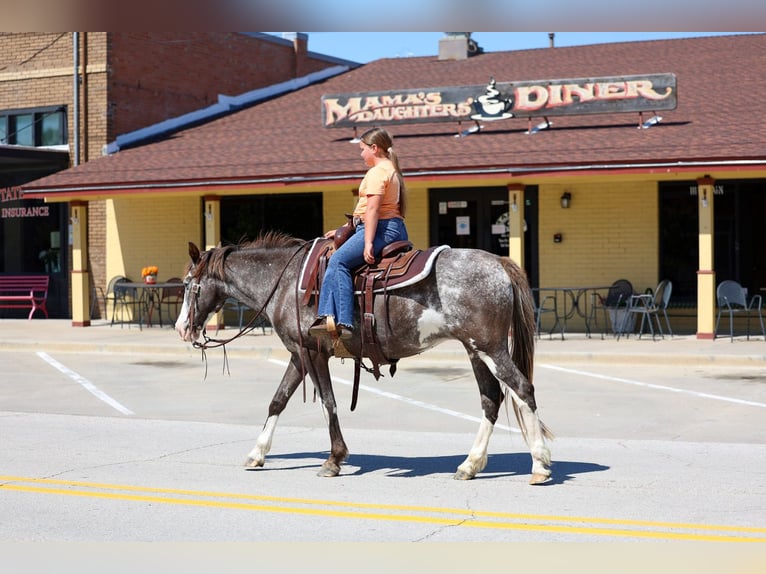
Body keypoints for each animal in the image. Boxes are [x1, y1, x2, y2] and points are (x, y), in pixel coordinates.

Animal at [175, 233, 553, 484]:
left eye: (189, 284)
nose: (181, 328)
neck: (285, 280)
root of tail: (499, 263)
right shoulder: (299, 353)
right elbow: (278, 400)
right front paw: (257, 453)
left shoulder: (313, 353)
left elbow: (328, 402)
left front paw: (333, 459)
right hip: (475, 349)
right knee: (491, 400)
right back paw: (470, 465)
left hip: (491, 348)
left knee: (523, 389)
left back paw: (538, 465)